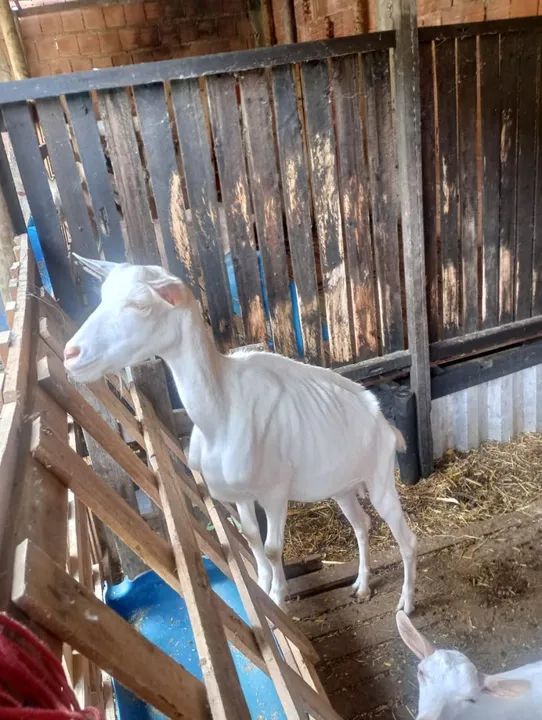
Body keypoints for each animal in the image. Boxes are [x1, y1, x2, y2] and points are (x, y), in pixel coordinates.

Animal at [64, 257, 417, 613]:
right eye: (102, 296)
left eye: (140, 305)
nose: (70, 353)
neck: (222, 407)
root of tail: (386, 426)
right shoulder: (241, 495)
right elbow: (252, 540)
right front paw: (262, 590)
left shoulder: (275, 492)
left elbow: (273, 549)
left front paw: (278, 599)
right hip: (342, 487)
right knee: (362, 525)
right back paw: (361, 586)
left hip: (380, 478)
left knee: (406, 538)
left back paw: (406, 603)